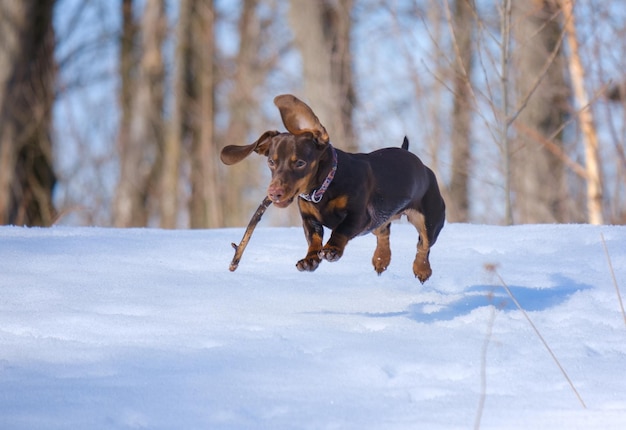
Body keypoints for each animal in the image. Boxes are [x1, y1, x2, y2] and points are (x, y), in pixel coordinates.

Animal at [219, 94, 444, 282]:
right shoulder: (309, 219)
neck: (322, 189)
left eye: (299, 163)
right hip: (382, 216)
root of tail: (420, 164)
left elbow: (340, 229)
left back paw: (422, 269)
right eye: (271, 162)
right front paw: (310, 259)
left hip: (429, 220)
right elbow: (313, 238)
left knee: (423, 244)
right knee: (383, 232)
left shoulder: (360, 216)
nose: (273, 193)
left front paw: (332, 249)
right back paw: (381, 259)